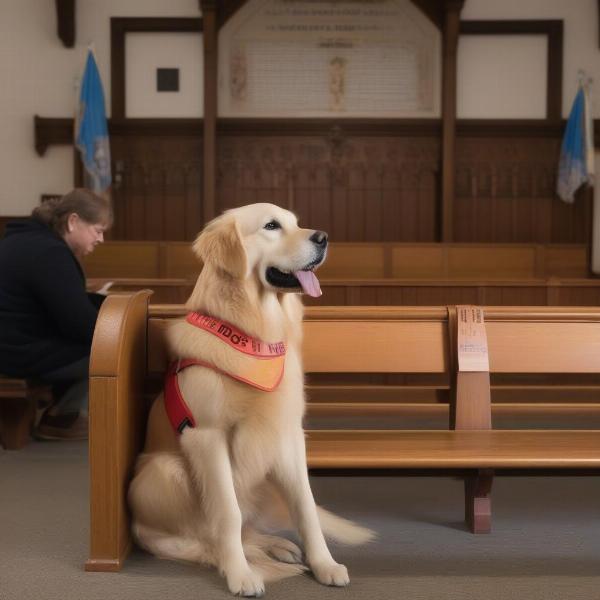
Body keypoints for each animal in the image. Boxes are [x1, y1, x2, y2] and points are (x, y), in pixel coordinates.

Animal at [129, 205, 372, 596]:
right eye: (271, 226)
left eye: (296, 222)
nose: (323, 237)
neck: (254, 335)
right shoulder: (207, 437)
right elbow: (228, 513)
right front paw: (240, 574)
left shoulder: (288, 436)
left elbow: (305, 506)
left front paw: (324, 564)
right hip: (162, 470)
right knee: (202, 536)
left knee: (249, 530)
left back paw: (277, 545)